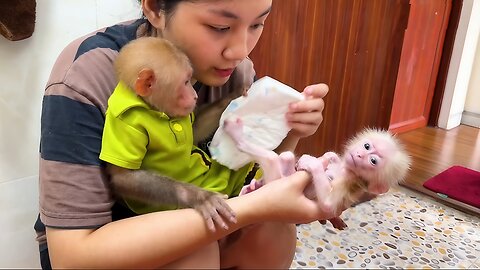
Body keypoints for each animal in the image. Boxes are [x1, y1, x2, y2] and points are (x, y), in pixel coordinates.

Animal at [223, 116, 410, 228]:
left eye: (373, 161)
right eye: (367, 146)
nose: (359, 155)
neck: (344, 168)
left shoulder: (349, 183)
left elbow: (327, 204)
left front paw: (312, 163)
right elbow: (331, 157)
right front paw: (329, 156)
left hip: (275, 177)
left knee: (274, 159)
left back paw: (238, 137)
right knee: (285, 157)